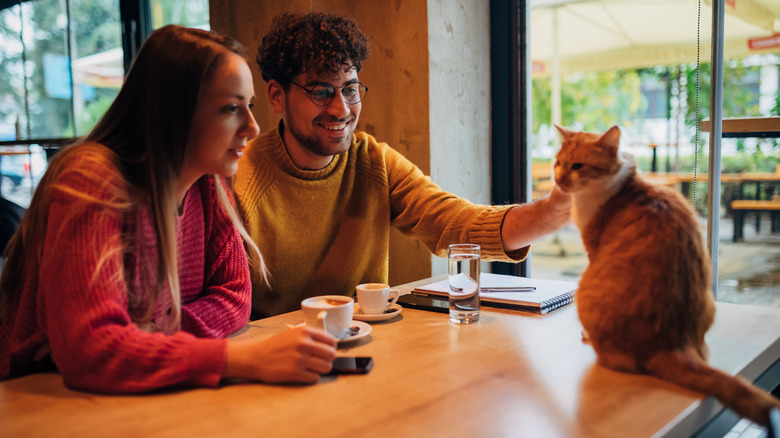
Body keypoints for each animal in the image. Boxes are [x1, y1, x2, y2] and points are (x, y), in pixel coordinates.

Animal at [556, 125, 780, 426]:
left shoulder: (593, 248)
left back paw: (591, 338)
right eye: (557, 163)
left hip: (583, 289)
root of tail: (671, 344)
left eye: (577, 166)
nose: (557, 180)